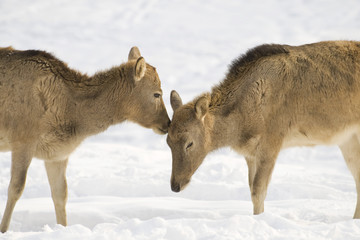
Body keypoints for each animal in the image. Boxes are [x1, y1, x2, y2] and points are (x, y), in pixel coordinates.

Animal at [0, 46, 170, 232]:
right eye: (157, 94)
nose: (168, 123)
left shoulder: (57, 153)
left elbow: (61, 193)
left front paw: (64, 228)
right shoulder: (23, 139)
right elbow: (16, 188)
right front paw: (4, 230)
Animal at [167, 40, 360, 219]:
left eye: (189, 143)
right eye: (168, 141)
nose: (175, 186)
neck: (241, 127)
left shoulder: (272, 143)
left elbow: (258, 191)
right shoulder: (250, 153)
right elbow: (251, 188)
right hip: (348, 140)